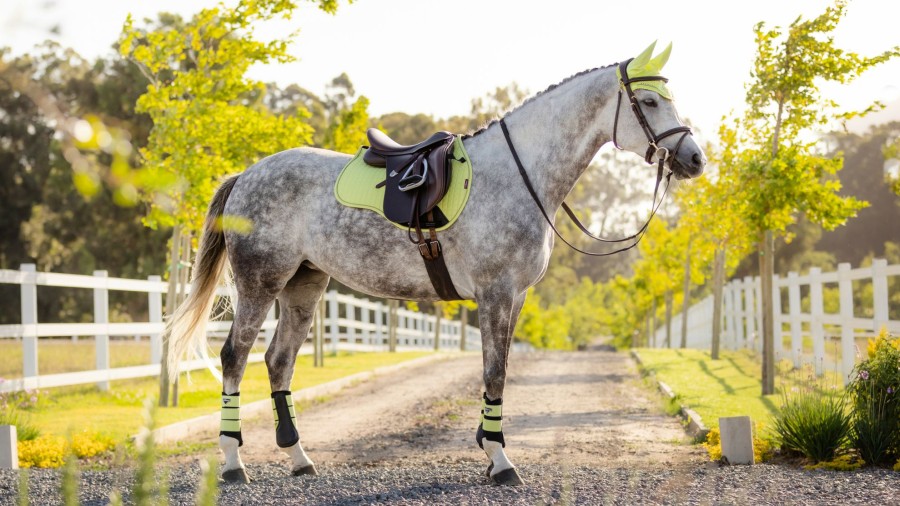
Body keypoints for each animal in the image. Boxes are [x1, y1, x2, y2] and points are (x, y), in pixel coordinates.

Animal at [167, 43, 704, 486]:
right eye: (649, 103)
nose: (695, 159)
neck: (517, 174)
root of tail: (246, 175)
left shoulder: (516, 297)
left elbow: (500, 369)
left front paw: (490, 448)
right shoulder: (495, 293)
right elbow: (494, 372)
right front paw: (501, 462)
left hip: (304, 285)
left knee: (279, 362)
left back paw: (300, 459)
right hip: (261, 284)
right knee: (234, 358)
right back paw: (233, 465)